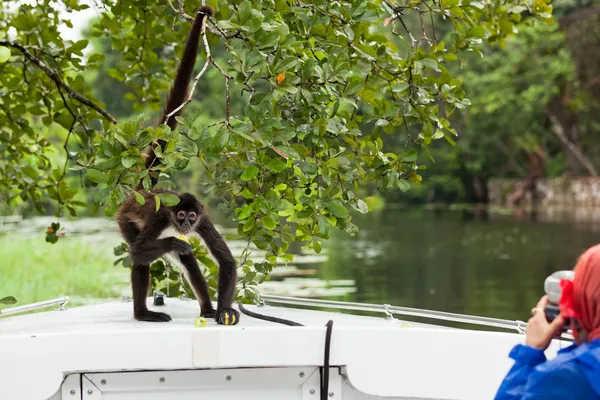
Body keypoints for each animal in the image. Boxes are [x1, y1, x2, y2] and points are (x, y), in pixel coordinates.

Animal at [115, 4, 239, 324]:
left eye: (191, 216)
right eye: (180, 216)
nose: (184, 225)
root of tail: (141, 192)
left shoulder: (205, 219)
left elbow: (227, 261)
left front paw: (223, 310)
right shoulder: (161, 219)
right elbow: (137, 253)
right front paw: (176, 243)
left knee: (189, 262)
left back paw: (207, 308)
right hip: (125, 219)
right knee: (143, 256)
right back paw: (142, 313)